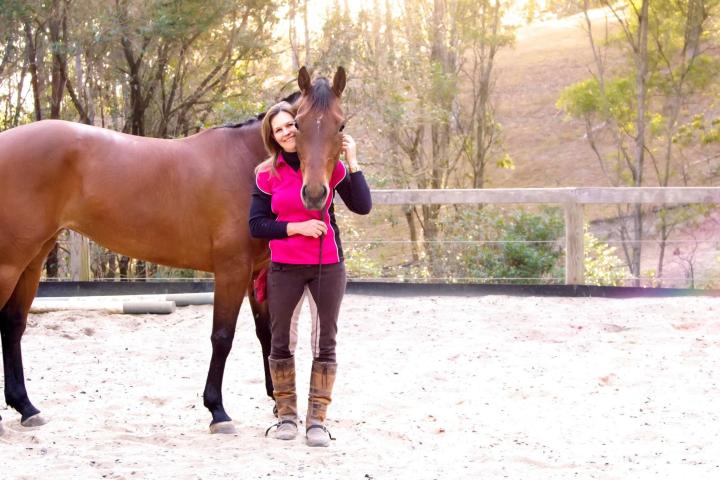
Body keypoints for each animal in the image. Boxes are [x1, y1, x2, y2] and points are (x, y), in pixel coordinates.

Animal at [0, 66, 346, 434]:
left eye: (340, 125)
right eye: (298, 124)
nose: (314, 194)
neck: (246, 164)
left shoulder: (258, 271)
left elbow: (266, 333)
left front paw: (277, 406)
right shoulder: (232, 270)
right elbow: (222, 336)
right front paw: (217, 410)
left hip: (32, 259)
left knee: (13, 323)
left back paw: (26, 407)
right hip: (10, 263)